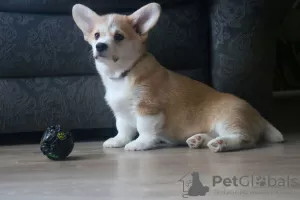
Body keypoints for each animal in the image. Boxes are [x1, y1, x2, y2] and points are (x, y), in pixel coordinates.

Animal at [72, 2, 284, 152]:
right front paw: (117, 141)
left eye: (118, 37)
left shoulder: (148, 109)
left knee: (245, 139)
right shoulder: (122, 114)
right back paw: (199, 139)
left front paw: (140, 144)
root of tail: (258, 115)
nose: (100, 46)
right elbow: (123, 129)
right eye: (96, 35)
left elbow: (144, 129)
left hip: (228, 119)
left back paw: (221, 144)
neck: (123, 74)